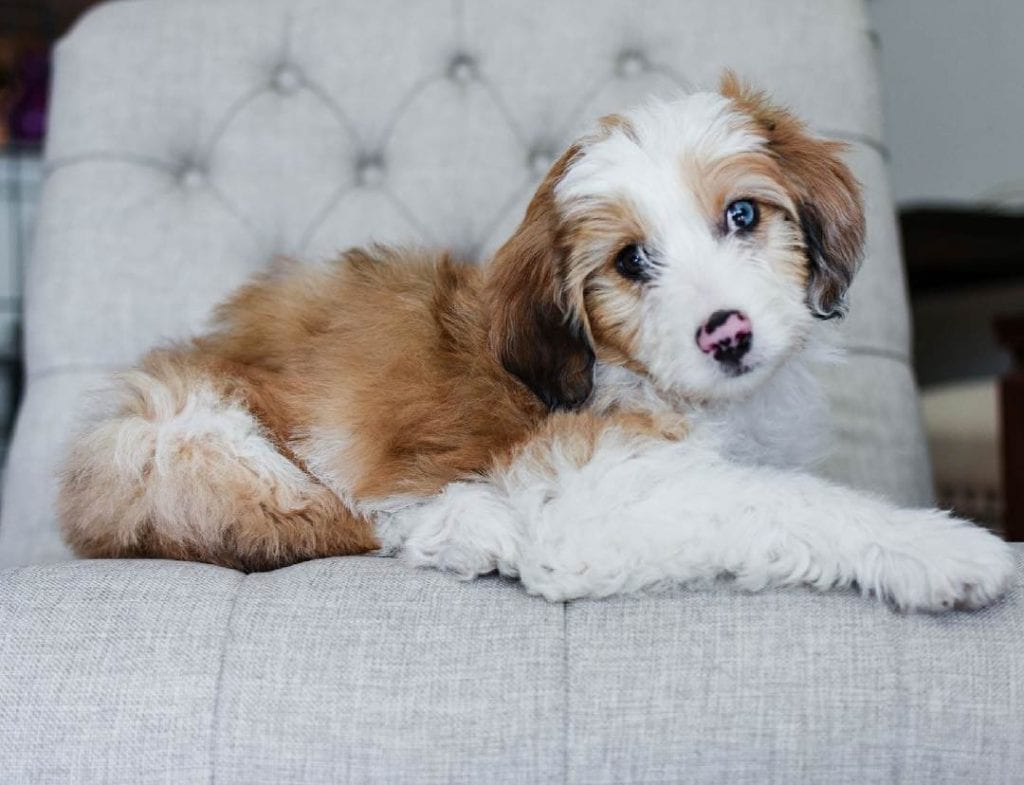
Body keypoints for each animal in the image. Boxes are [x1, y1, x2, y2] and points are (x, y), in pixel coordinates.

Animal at [58, 75, 1015, 614]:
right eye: (631, 262)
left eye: (743, 215)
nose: (728, 332)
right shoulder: (590, 489)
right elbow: (786, 501)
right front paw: (942, 548)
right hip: (179, 443)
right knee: (343, 520)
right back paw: (466, 526)